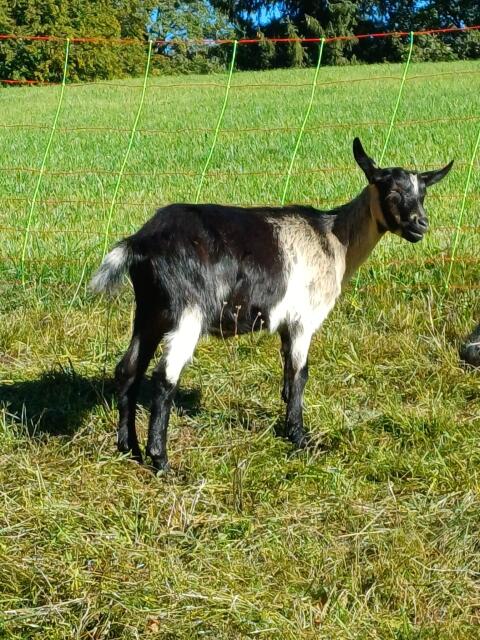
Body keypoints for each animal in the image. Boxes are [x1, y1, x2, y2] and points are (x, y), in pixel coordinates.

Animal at [90, 138, 453, 472]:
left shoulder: (285, 325)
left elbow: (287, 375)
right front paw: (301, 438)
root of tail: (140, 242)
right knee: (164, 377)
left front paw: (288, 425)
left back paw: (128, 448)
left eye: (422, 193)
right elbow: (301, 373)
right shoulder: (304, 319)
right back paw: (162, 461)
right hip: (187, 312)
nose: (420, 224)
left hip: (150, 311)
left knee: (128, 369)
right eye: (391, 192)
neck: (334, 240)